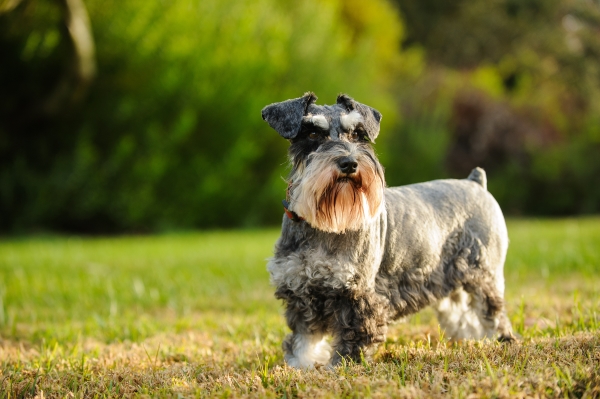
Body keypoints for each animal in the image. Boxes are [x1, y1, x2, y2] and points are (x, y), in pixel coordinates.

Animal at [260, 92, 512, 370]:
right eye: (313, 133)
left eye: (358, 134)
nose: (349, 163)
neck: (322, 226)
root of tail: (475, 183)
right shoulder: (301, 292)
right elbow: (304, 340)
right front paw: (298, 367)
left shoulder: (358, 295)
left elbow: (352, 341)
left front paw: (339, 369)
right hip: (449, 282)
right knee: (463, 317)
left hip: (484, 275)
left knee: (493, 314)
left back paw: (501, 342)